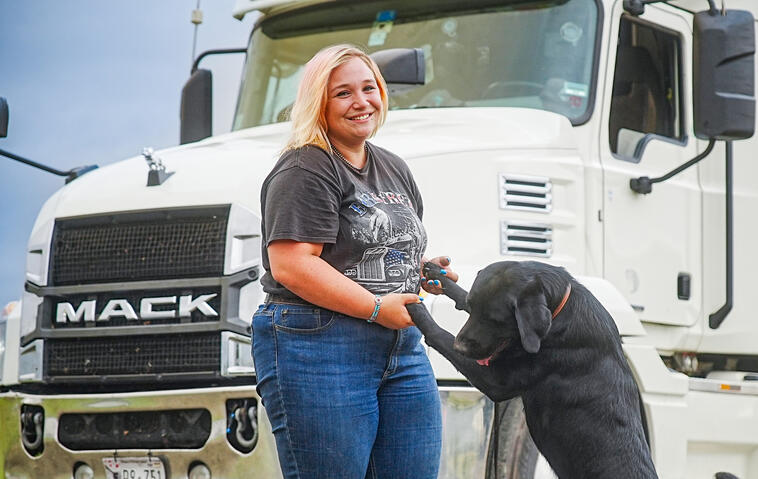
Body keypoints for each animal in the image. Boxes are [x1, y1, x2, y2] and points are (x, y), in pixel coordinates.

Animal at [410, 262, 660, 479]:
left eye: (496, 320)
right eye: (472, 309)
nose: (459, 347)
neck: (560, 311)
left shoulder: (495, 381)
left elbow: (440, 334)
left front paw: (415, 308)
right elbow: (460, 294)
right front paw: (438, 274)